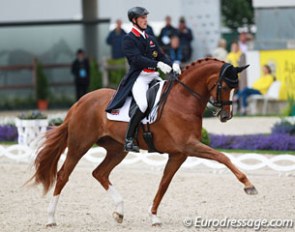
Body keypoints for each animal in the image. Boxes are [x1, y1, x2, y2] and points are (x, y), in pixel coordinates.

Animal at [29, 58, 256, 227]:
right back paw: (51, 218)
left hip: (117, 149)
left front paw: (154, 216)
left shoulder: (179, 154)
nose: (226, 116)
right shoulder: (189, 146)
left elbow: (164, 183)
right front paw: (248, 185)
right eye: (224, 86)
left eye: (235, 87)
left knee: (100, 173)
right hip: (79, 145)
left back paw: (119, 211)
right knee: (63, 175)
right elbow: (222, 156)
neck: (183, 99)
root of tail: (79, 102)